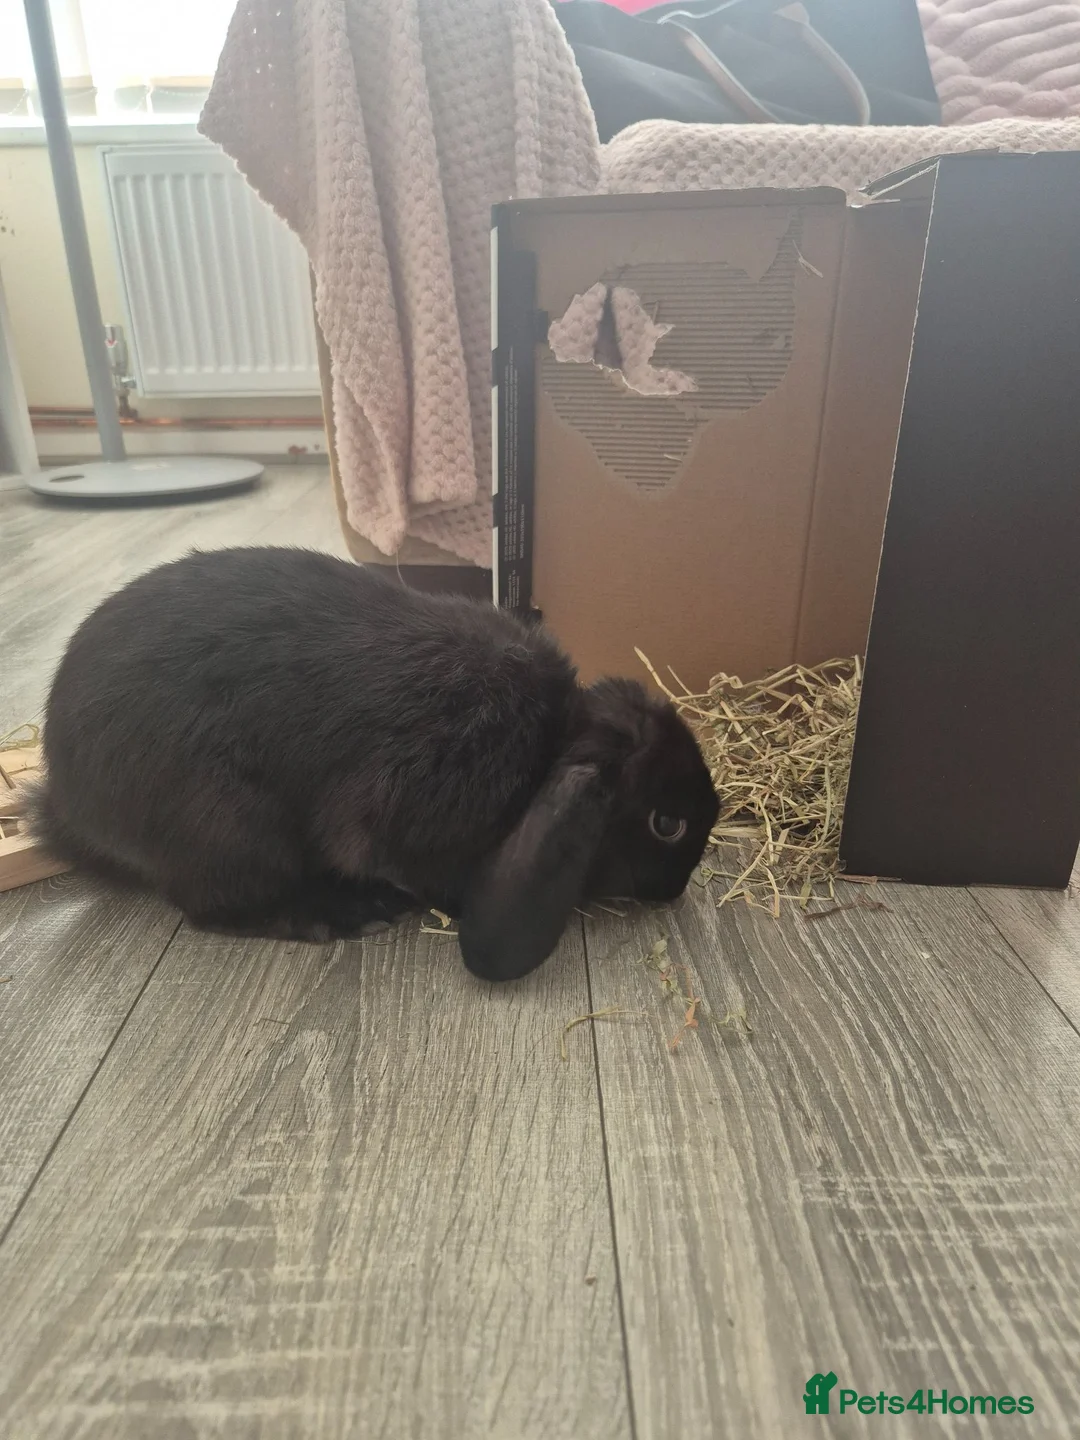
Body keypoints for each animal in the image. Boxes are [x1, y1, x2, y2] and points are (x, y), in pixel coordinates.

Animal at [30, 547, 719, 981]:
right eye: (667, 825)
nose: (676, 891)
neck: (550, 745)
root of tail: (65, 806)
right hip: (227, 825)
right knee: (215, 908)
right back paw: (346, 914)